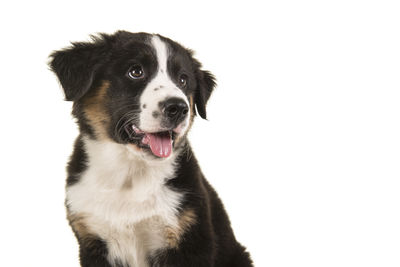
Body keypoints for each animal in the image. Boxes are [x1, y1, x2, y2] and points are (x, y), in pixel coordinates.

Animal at [50, 30, 253, 267]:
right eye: (136, 72)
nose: (178, 108)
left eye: (183, 79)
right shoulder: (92, 240)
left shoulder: (190, 239)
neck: (130, 175)